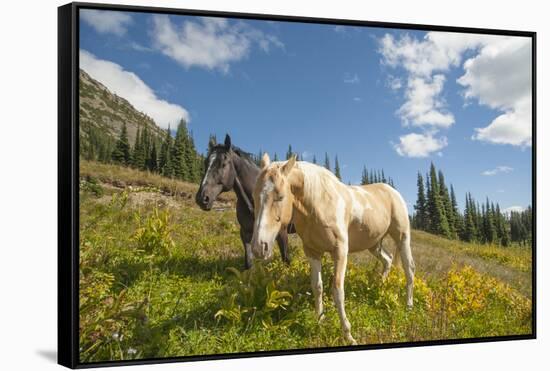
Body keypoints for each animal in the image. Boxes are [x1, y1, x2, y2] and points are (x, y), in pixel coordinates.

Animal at [195, 135, 292, 268]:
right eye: (205, 162)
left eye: (223, 164)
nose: (202, 198)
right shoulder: (245, 233)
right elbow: (248, 263)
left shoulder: (282, 233)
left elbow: (286, 260)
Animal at [250, 154, 414, 346]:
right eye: (254, 196)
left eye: (280, 197)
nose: (259, 247)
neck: (318, 205)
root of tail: (392, 191)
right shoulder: (313, 252)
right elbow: (317, 286)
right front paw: (320, 320)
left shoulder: (340, 251)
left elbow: (337, 289)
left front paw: (348, 335)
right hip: (373, 244)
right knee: (387, 260)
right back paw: (378, 287)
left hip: (402, 237)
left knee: (409, 269)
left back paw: (409, 306)